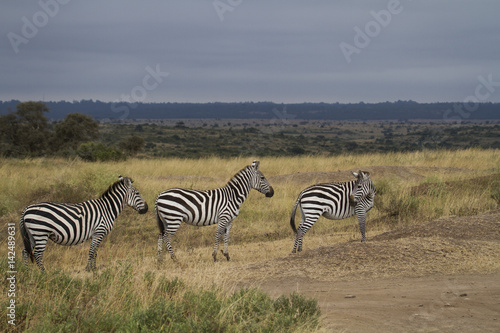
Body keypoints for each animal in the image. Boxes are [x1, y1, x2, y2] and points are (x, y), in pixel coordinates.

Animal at [19, 175, 148, 272]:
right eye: (137, 193)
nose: (146, 208)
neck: (107, 209)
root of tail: (26, 209)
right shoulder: (99, 231)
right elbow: (92, 252)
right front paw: (90, 269)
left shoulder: (96, 234)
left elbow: (94, 252)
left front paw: (93, 268)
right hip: (41, 232)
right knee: (37, 254)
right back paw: (44, 273)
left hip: (31, 234)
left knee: (25, 251)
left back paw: (26, 272)